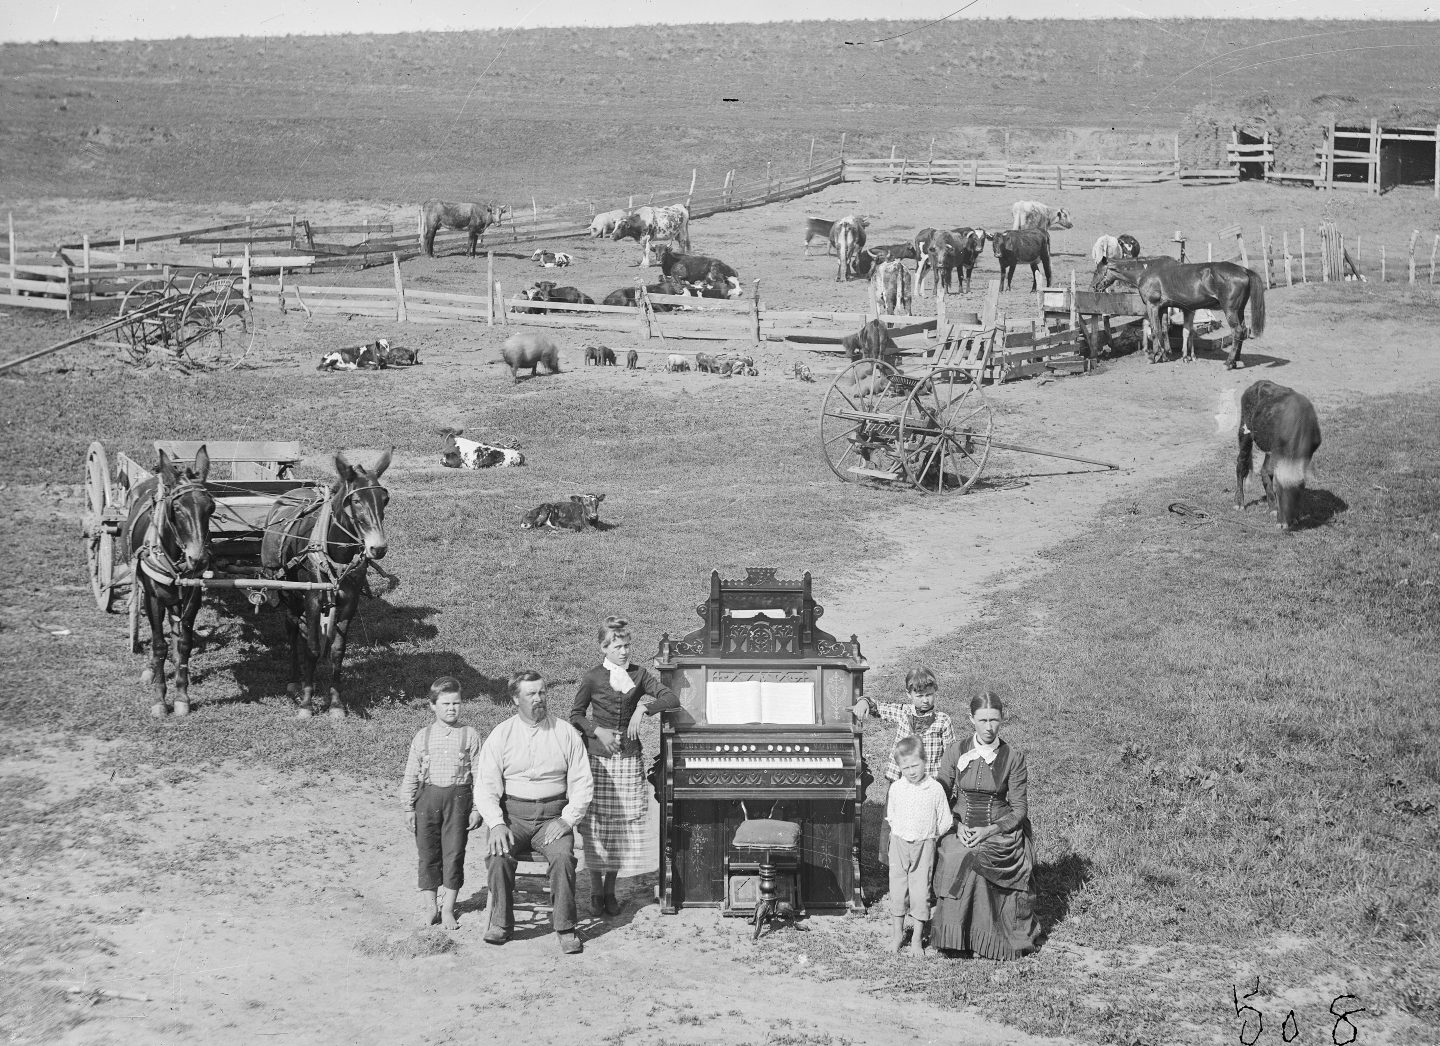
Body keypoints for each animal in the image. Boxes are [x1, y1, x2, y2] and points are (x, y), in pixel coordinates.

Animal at [123, 443, 214, 720]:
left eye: (211, 508)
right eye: (177, 509)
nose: (198, 558)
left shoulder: (194, 597)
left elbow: (184, 643)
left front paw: (182, 695)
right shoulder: (154, 599)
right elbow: (158, 645)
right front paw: (160, 699)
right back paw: (151, 669)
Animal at [262, 452, 391, 720]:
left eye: (385, 499)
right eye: (356, 500)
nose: (378, 548)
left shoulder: (350, 601)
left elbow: (337, 651)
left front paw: (336, 704)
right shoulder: (312, 599)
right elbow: (312, 648)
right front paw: (306, 704)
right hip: (290, 592)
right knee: (292, 628)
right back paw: (295, 680)